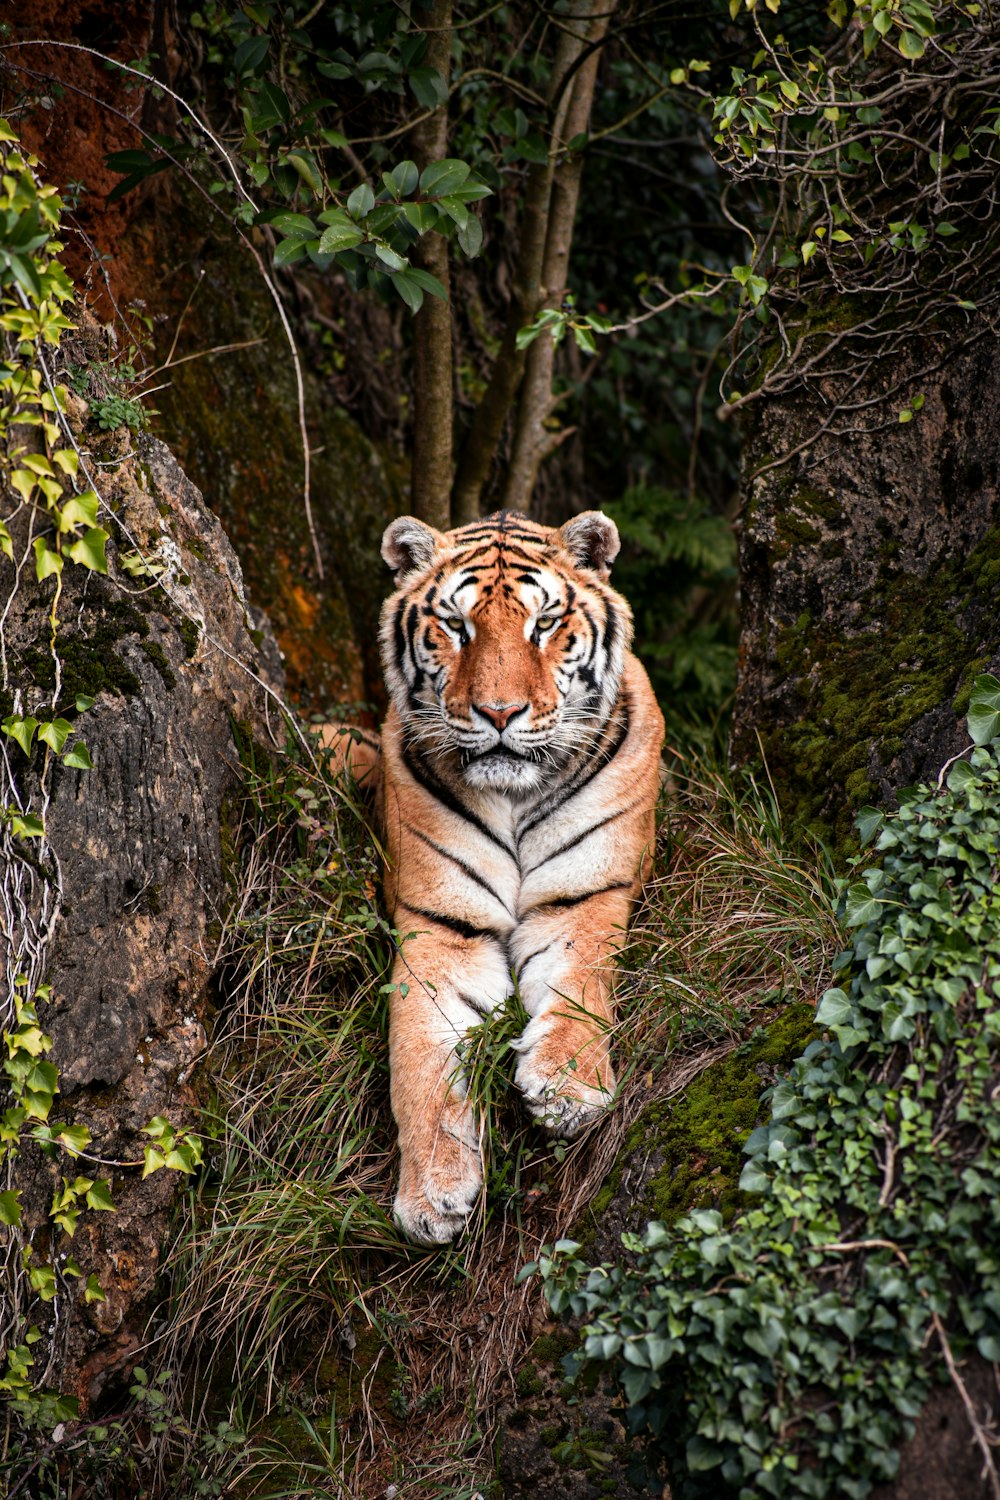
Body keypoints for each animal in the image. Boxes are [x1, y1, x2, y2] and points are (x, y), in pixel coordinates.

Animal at [329, 504, 665, 1242]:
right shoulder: (440, 926)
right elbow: (419, 1058)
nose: (501, 713)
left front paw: (569, 1087)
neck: (512, 795)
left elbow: (582, 984)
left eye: (544, 625)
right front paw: (432, 1191)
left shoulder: (584, 897)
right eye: (457, 626)